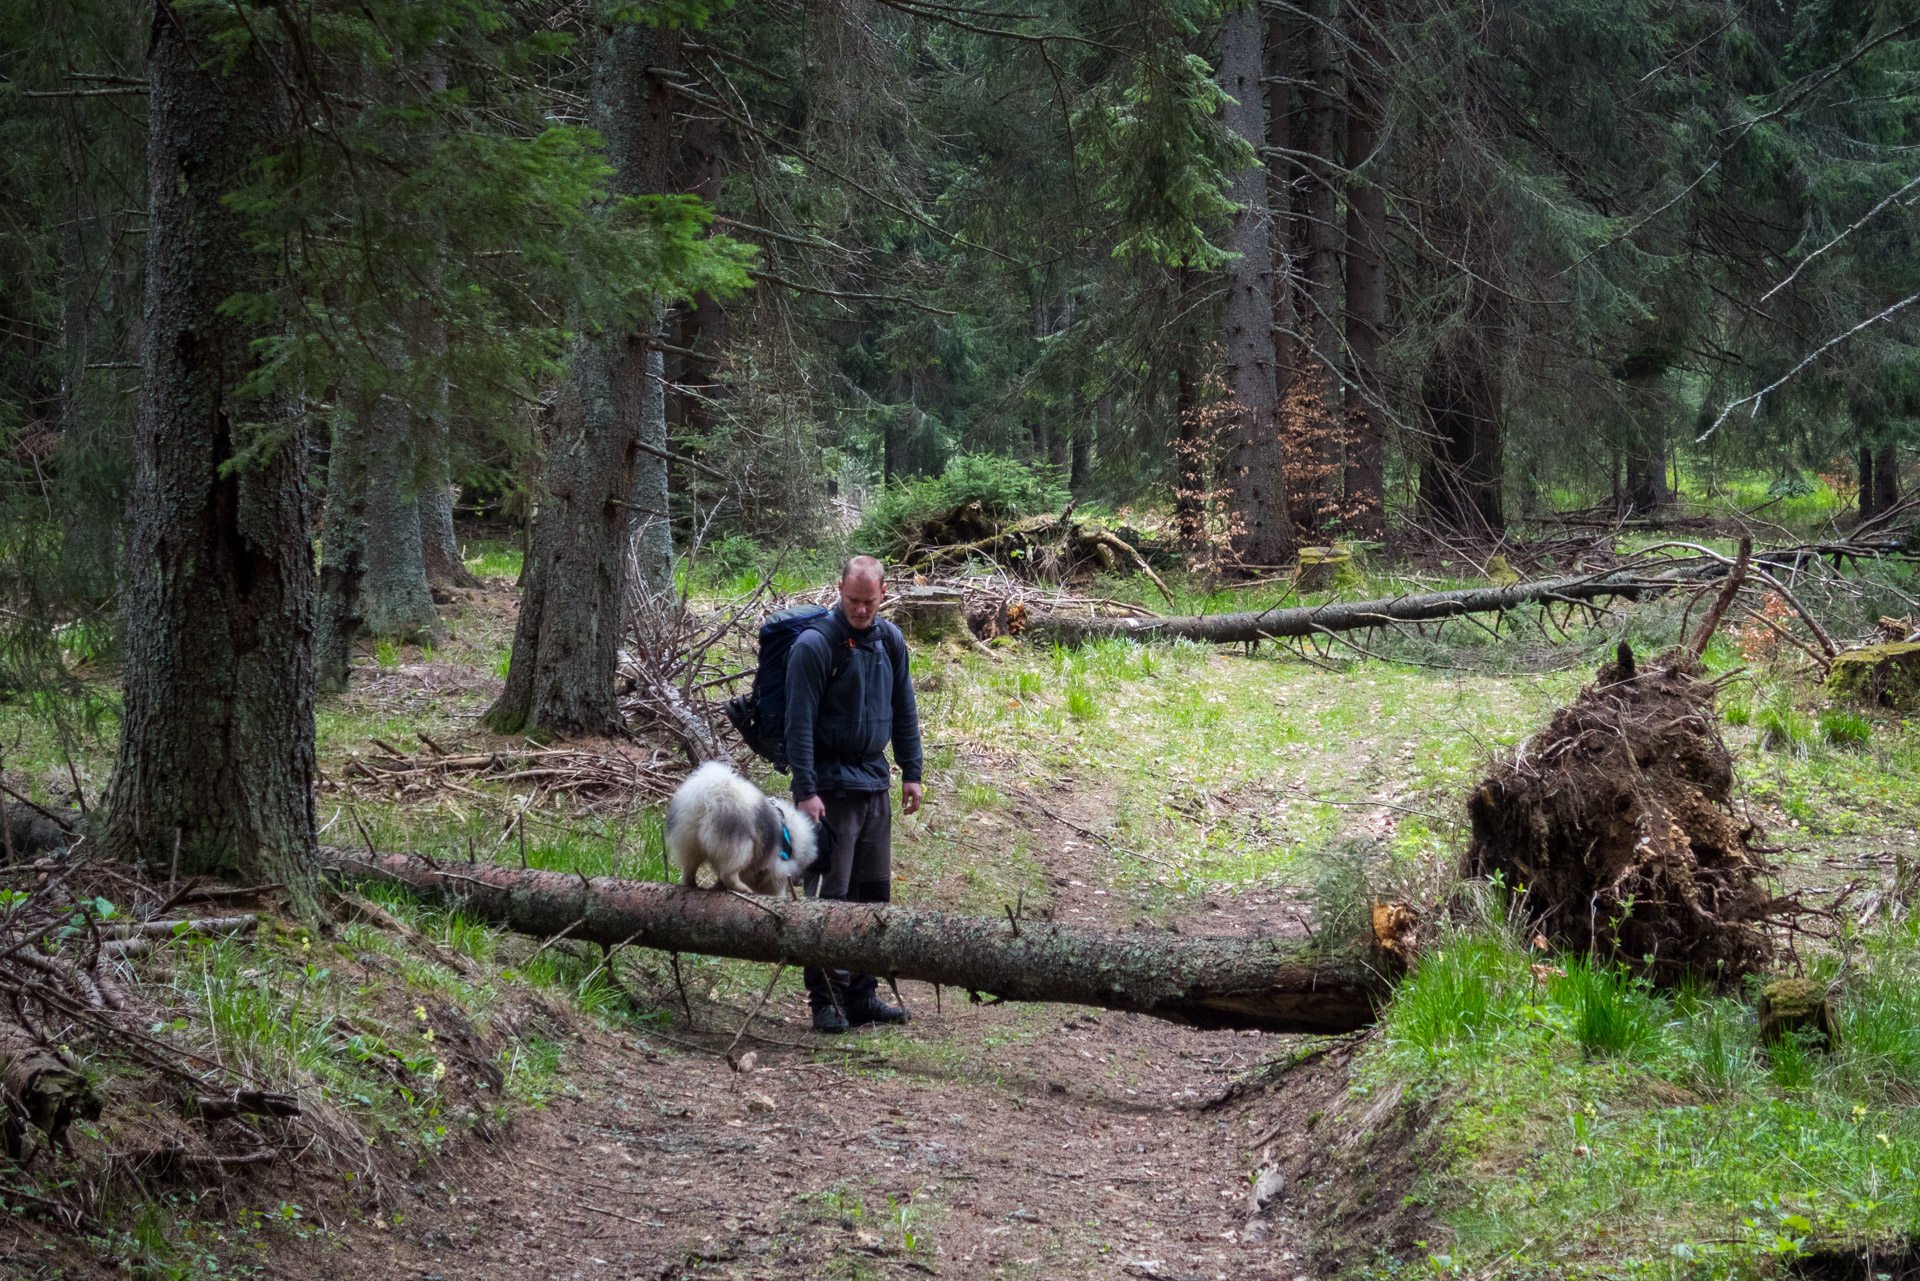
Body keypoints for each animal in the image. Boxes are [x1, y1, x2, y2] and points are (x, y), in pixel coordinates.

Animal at [668, 768, 817, 898]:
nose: (800, 883)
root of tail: (709, 798)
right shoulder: (777, 869)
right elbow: (776, 889)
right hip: (742, 848)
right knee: (728, 874)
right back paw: (743, 889)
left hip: (690, 843)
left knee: (688, 868)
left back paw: (691, 884)